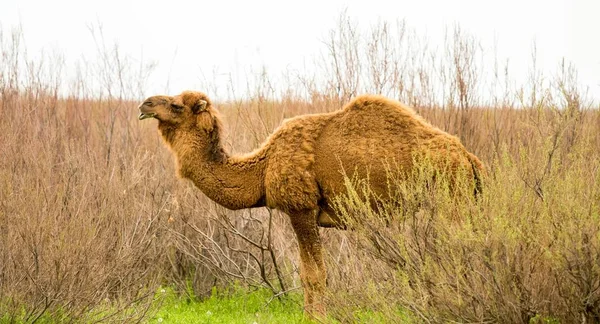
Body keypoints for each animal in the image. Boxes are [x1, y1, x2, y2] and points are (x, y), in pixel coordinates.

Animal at [138, 91, 486, 318]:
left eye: (176, 105)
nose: (144, 104)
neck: (263, 167)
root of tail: (469, 159)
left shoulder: (301, 208)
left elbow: (314, 275)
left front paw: (315, 318)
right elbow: (308, 273)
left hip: (451, 201)